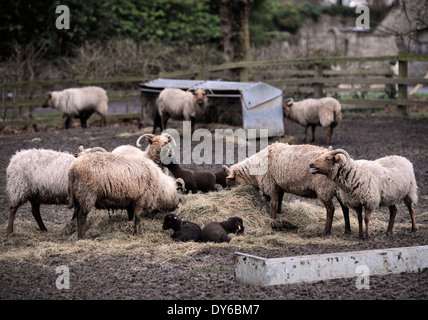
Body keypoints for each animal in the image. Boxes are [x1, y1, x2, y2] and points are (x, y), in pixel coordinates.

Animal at [222, 142, 350, 235]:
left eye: (230, 183)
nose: (226, 194)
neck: (254, 171)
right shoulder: (280, 186)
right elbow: (280, 201)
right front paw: (279, 214)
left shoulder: (271, 184)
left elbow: (273, 203)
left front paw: (272, 220)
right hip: (339, 190)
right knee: (345, 208)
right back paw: (347, 230)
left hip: (323, 189)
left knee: (331, 209)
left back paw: (327, 231)